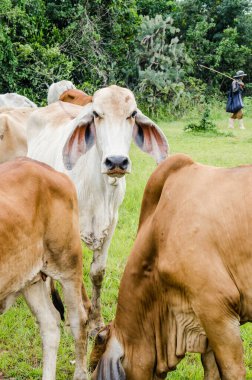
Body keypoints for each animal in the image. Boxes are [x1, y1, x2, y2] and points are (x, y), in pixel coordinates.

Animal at [27, 85, 169, 332]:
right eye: (96, 114)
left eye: (132, 114)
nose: (116, 161)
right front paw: (79, 314)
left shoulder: (111, 223)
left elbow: (97, 272)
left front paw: (96, 321)